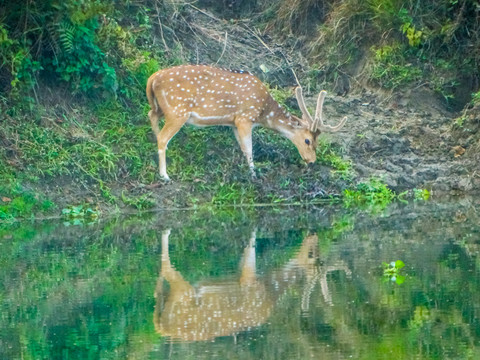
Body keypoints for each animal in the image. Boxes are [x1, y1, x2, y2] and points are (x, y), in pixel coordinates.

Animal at [144, 64, 346, 180]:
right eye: (307, 140)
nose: (311, 161)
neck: (263, 112)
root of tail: (152, 78)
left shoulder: (233, 122)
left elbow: (242, 147)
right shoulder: (244, 117)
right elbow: (249, 148)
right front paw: (254, 174)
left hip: (162, 107)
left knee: (151, 115)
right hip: (178, 110)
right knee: (163, 137)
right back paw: (164, 175)